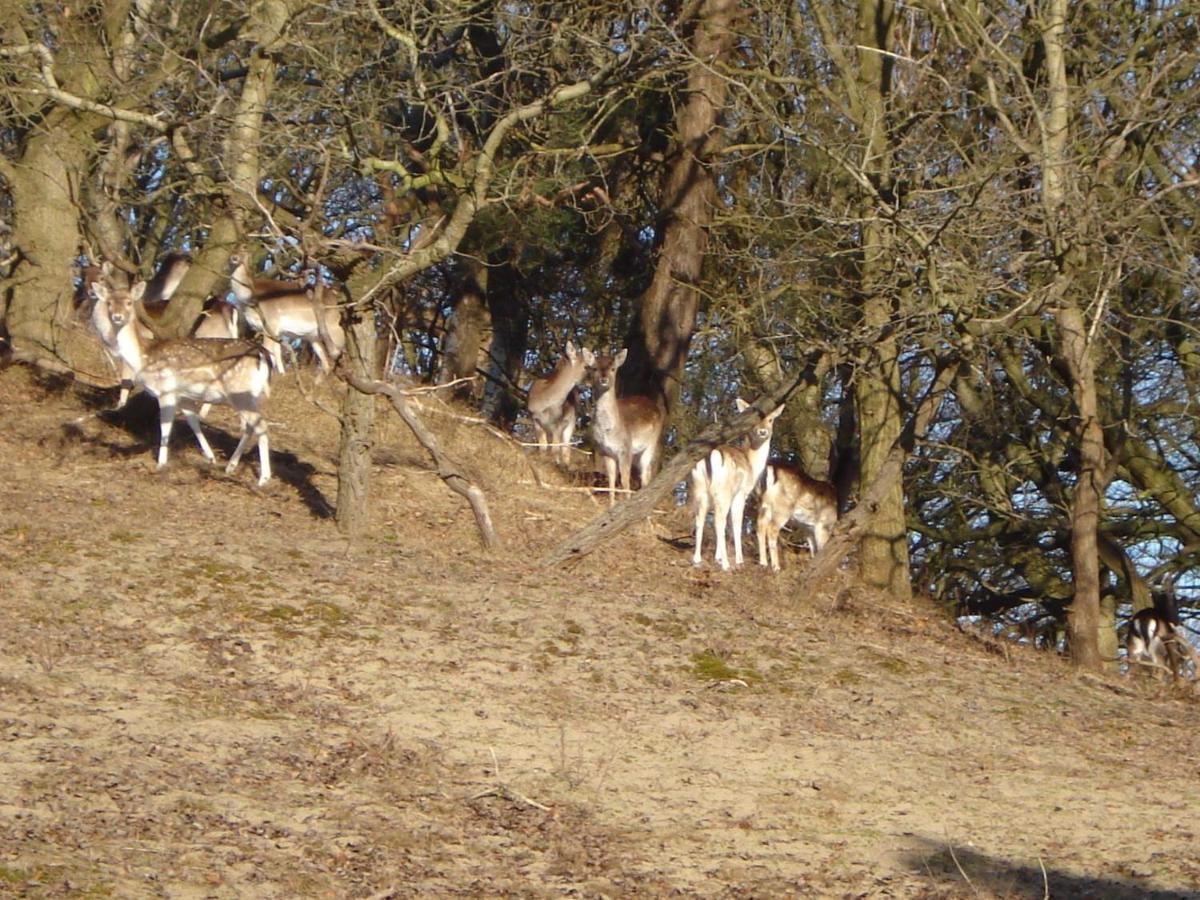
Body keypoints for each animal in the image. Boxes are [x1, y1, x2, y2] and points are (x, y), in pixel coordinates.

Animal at [530, 340, 595, 468]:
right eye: (586, 366)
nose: (592, 382)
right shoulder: (535, 419)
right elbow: (543, 447)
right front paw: (541, 461)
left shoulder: (558, 423)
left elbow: (555, 449)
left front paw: (556, 465)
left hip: (571, 421)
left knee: (566, 447)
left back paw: (565, 465)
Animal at [588, 350, 667, 508]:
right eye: (594, 368)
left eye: (613, 368)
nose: (604, 379)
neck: (609, 430)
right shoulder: (605, 451)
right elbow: (611, 479)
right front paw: (611, 505)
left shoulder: (625, 448)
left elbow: (625, 480)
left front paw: (626, 503)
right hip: (636, 453)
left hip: (652, 443)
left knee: (645, 473)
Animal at [696, 400, 787, 571]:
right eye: (755, 419)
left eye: (771, 419)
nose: (763, 432)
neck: (751, 464)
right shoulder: (741, 493)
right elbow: (736, 523)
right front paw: (739, 559)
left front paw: (717, 557)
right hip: (722, 491)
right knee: (718, 521)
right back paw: (726, 564)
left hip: (699, 488)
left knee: (700, 518)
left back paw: (697, 559)